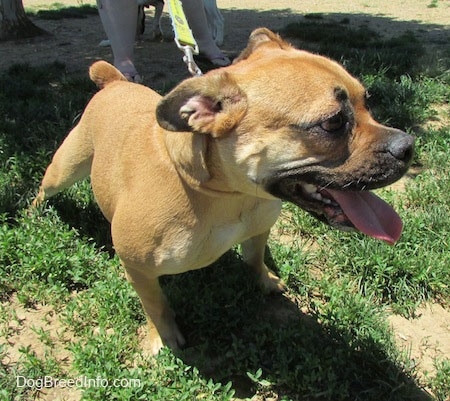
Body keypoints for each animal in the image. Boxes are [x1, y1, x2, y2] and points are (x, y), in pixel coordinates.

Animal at [34, 27, 414, 354]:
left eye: (367, 101)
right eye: (333, 122)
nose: (409, 146)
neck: (230, 196)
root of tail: (113, 82)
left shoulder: (259, 228)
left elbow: (254, 257)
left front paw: (264, 280)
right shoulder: (137, 268)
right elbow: (156, 304)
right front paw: (164, 337)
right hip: (64, 168)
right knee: (44, 187)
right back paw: (33, 213)